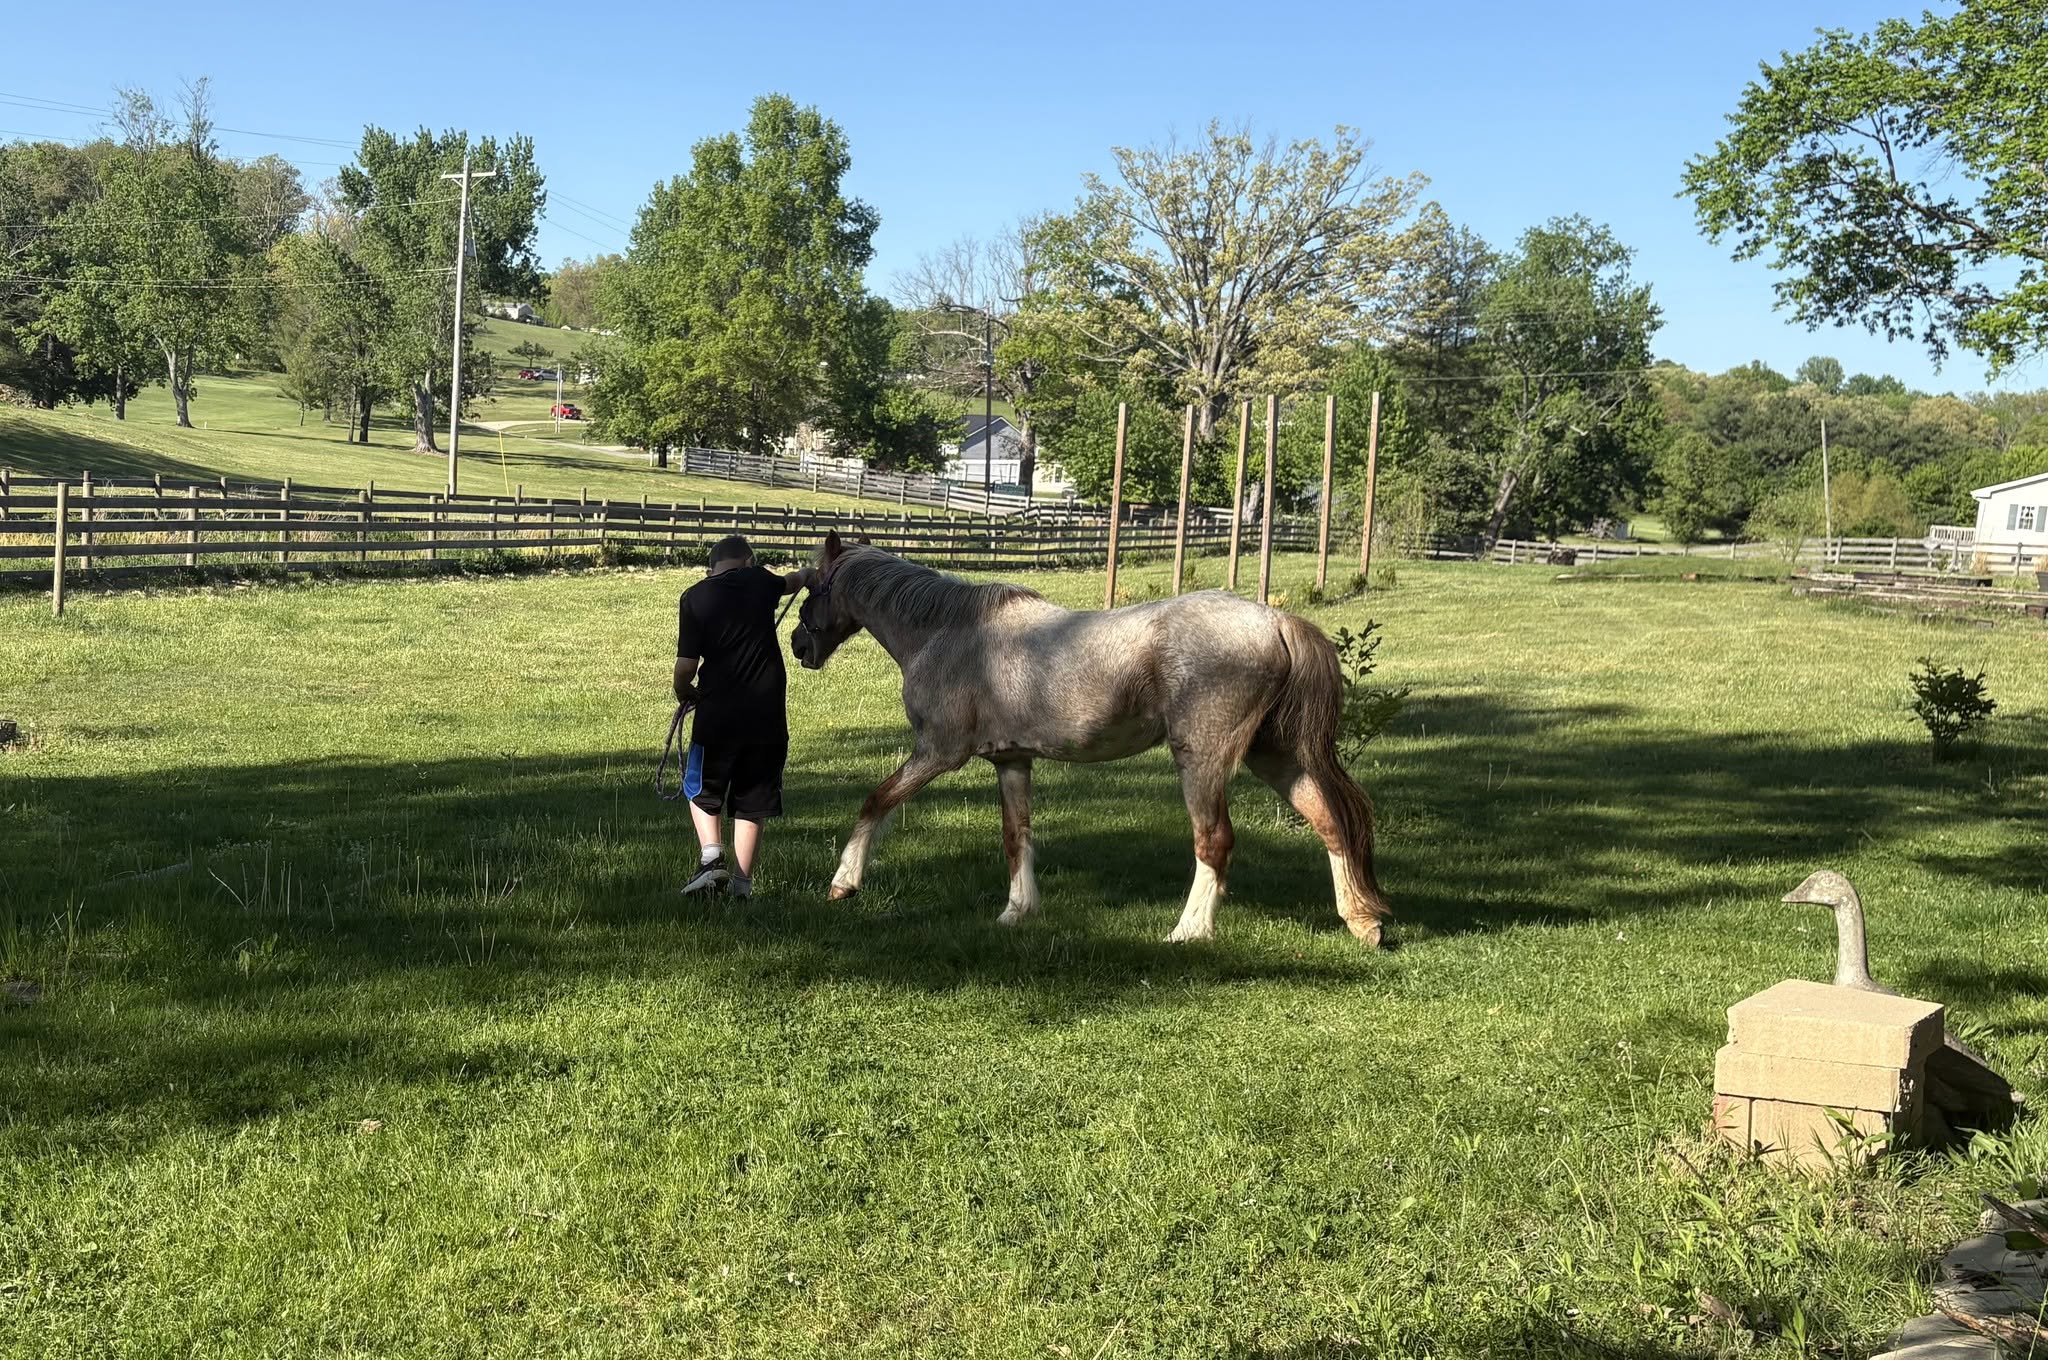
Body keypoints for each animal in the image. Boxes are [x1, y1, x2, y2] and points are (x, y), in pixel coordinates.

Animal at [789, 531, 1391, 945]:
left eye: (811, 586)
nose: (798, 646)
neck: (947, 631)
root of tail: (1275, 620)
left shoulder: (939, 752)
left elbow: (876, 801)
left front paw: (843, 883)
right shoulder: (1012, 761)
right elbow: (1016, 836)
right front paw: (1017, 912)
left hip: (1202, 760)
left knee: (1214, 841)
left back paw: (1187, 932)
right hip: (1277, 756)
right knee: (1330, 822)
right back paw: (1362, 922)